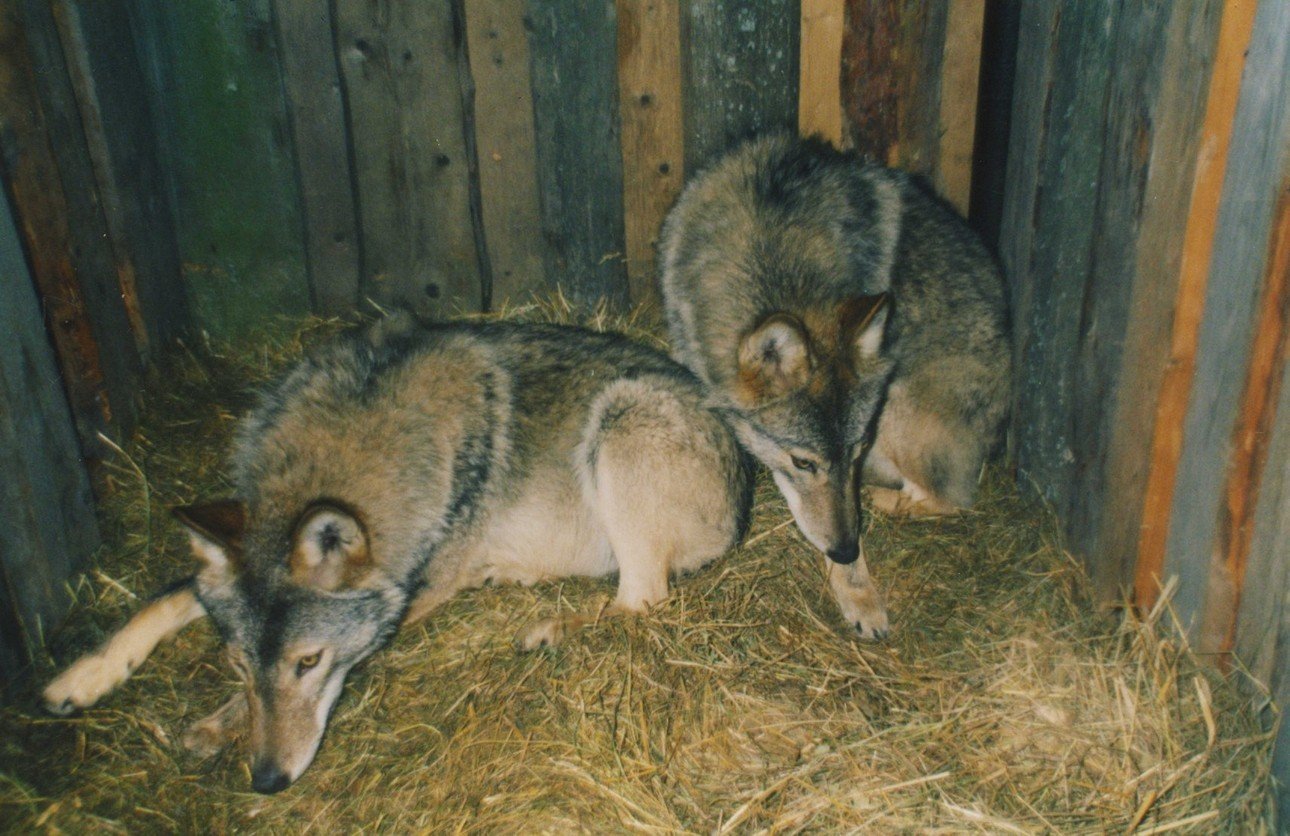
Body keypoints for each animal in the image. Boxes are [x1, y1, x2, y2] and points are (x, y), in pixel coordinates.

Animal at [42, 317, 748, 794]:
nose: (268, 780)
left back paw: (548, 629)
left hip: (618, 421)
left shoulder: (417, 590)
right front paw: (79, 680)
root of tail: (744, 487)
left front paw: (215, 725)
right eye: (237, 662)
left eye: (308, 663)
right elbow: (165, 597)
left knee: (642, 601)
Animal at [660, 134, 1011, 637]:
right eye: (803, 462)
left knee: (954, 499)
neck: (777, 246)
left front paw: (859, 594)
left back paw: (886, 500)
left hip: (900, 405)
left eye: (857, 450)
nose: (845, 549)